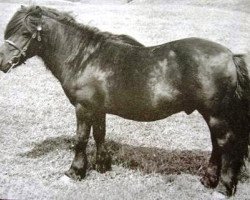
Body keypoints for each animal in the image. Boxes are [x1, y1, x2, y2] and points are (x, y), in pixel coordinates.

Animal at [0, 5, 249, 196]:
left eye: (25, 33)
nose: (2, 63)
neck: (84, 58)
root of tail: (230, 55)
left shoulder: (83, 108)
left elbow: (81, 138)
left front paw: (74, 172)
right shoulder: (97, 109)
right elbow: (100, 134)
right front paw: (102, 165)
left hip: (215, 114)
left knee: (225, 143)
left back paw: (223, 188)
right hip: (211, 114)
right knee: (216, 144)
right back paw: (208, 180)